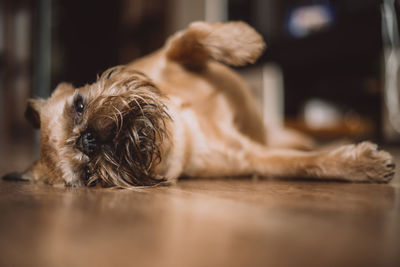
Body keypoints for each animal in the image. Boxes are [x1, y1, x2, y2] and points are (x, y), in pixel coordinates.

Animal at [3, 21, 396, 188]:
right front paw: (363, 165)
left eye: (79, 105)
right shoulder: (255, 159)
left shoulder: (167, 54)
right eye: (88, 177)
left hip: (283, 133)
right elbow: (308, 165)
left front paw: (244, 40)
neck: (182, 129)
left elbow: (192, 34)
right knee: (305, 149)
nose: (88, 140)